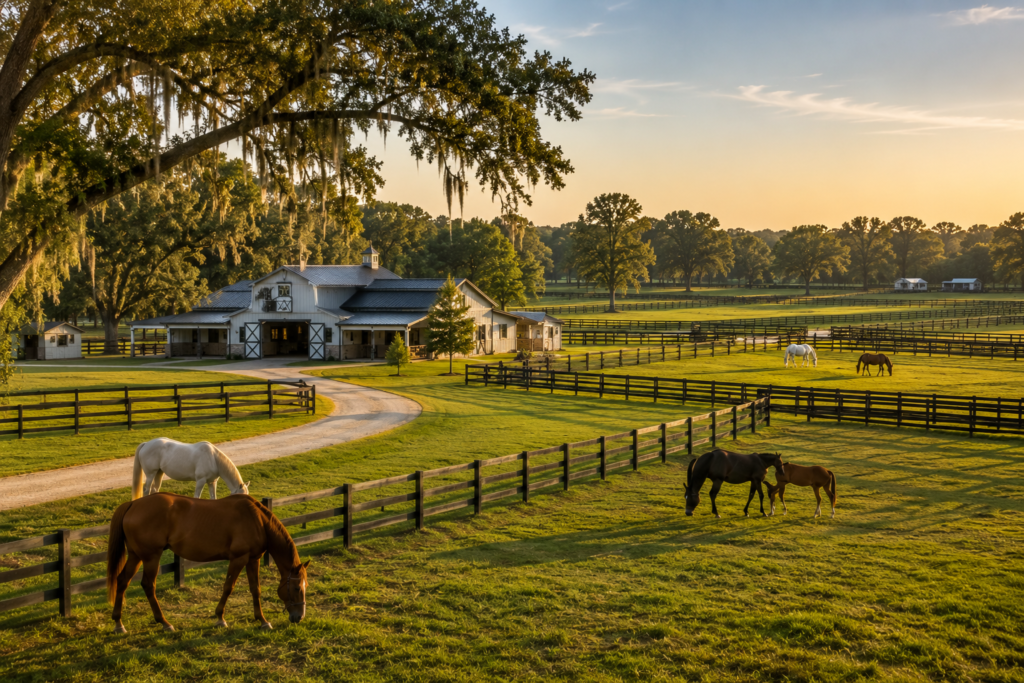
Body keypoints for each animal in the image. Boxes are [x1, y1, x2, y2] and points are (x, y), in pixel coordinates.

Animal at [106, 492, 309, 633]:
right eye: (297, 588)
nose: (299, 617)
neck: (257, 520)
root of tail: (133, 504)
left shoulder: (253, 559)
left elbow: (255, 589)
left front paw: (263, 620)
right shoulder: (239, 558)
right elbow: (228, 587)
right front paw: (220, 618)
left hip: (135, 556)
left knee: (122, 581)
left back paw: (118, 623)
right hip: (151, 557)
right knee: (148, 585)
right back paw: (164, 623)